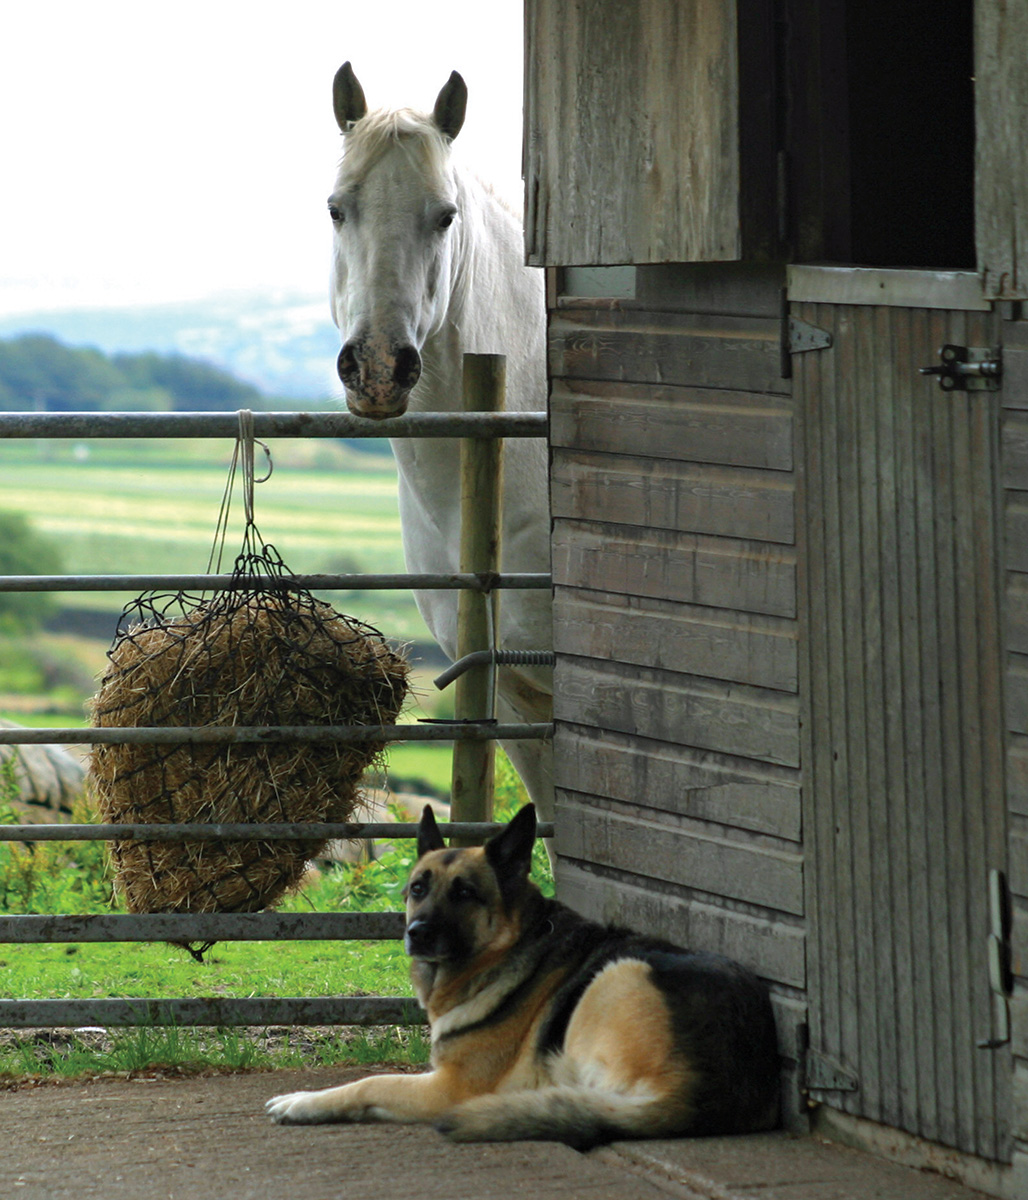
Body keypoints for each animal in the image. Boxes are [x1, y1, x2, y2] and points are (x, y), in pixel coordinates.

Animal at [265, 801, 777, 1147]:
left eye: (465, 893)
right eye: (417, 889)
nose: (417, 933)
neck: (508, 948)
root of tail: (699, 1091)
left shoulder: (449, 1088)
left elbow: (370, 1082)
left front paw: (302, 1101)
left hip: (617, 976)